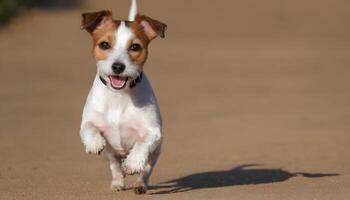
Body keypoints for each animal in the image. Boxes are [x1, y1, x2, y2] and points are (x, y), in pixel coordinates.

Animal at [80, 0, 166, 194]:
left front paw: (133, 163)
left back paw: (140, 184)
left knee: (146, 170)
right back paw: (117, 183)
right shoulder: (88, 121)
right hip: (109, 154)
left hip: (156, 152)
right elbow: (89, 127)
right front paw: (93, 142)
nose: (118, 66)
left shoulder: (153, 131)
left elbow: (142, 144)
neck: (119, 96)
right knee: (115, 166)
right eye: (104, 44)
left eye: (135, 47)